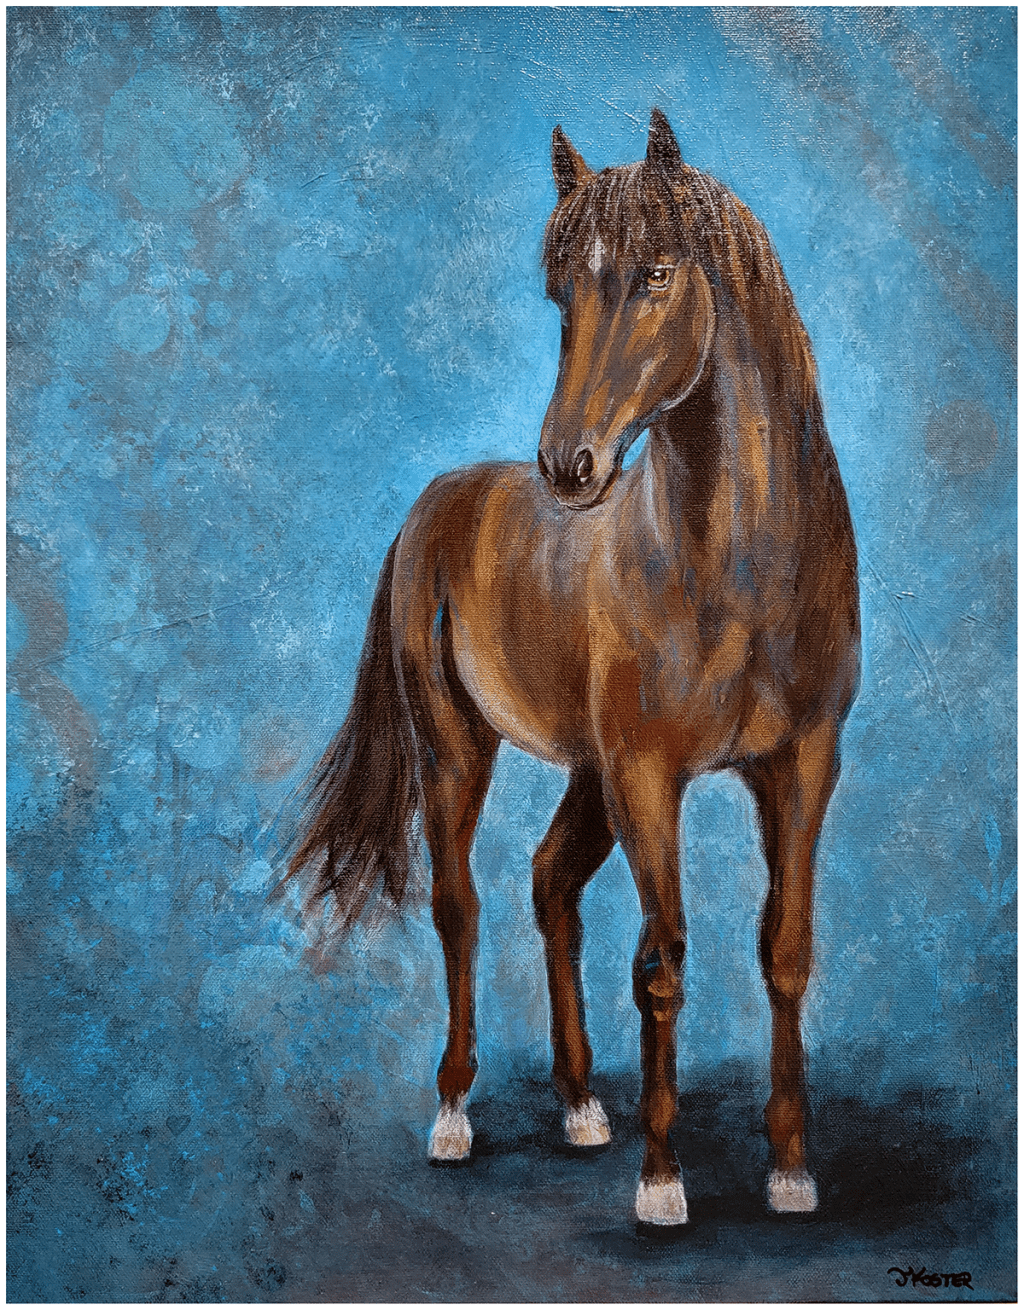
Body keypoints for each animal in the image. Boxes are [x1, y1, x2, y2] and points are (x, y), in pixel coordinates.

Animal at [288, 108, 860, 1226]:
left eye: (656, 273)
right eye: (560, 291)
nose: (567, 464)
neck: (744, 568)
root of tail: (435, 505)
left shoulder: (802, 765)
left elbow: (785, 950)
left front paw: (790, 1167)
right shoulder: (648, 775)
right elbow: (662, 960)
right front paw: (662, 1180)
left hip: (589, 776)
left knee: (550, 883)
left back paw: (582, 1103)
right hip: (457, 751)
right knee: (459, 907)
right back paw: (456, 1111)